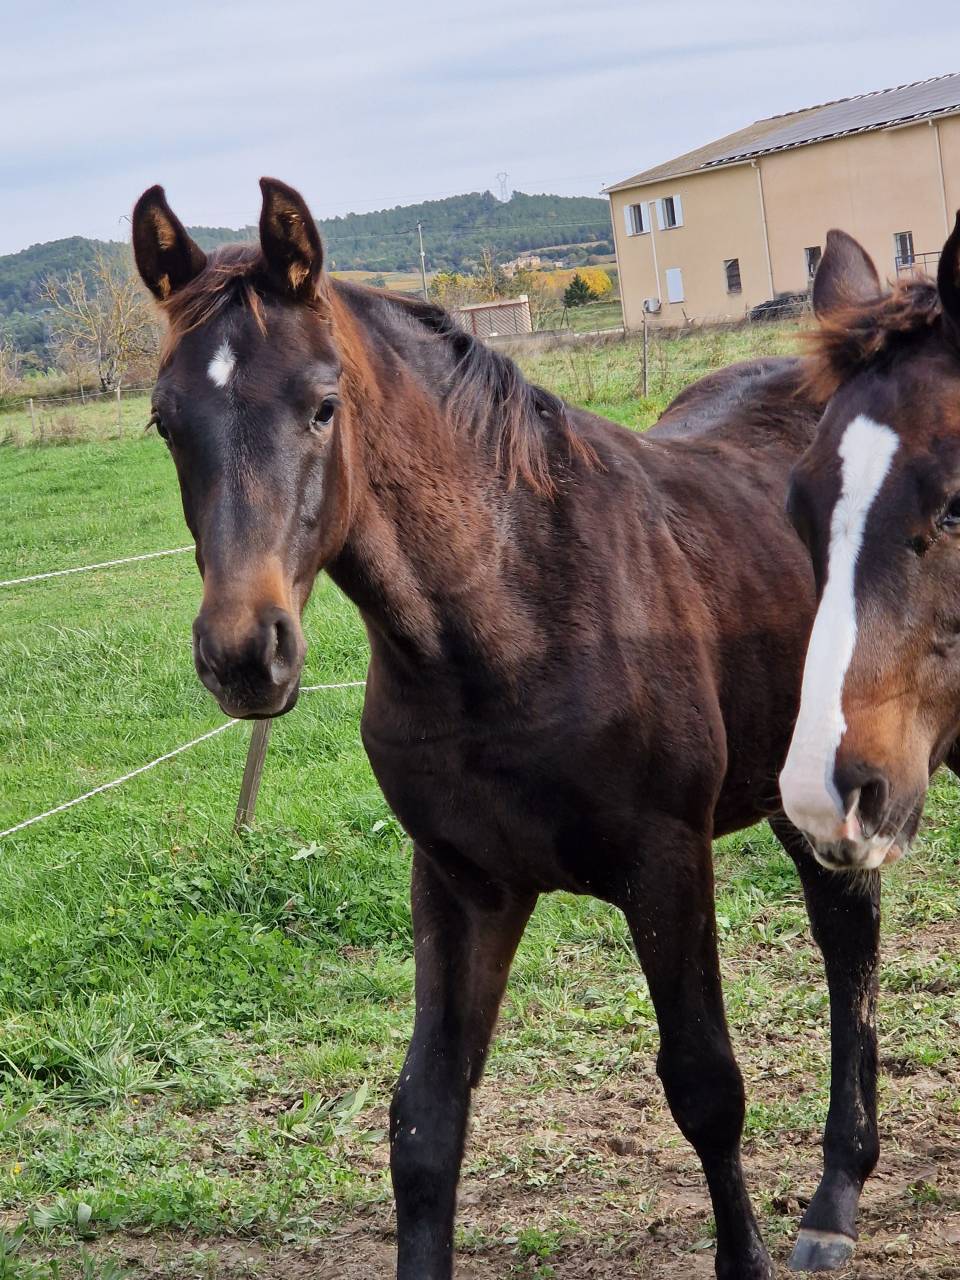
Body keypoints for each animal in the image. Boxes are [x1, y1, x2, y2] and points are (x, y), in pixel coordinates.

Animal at [132, 176, 878, 1278]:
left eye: (322, 405)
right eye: (164, 421)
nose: (243, 653)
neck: (517, 613)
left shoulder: (667, 861)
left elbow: (706, 1087)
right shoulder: (460, 880)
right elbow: (425, 1121)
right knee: (846, 928)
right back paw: (835, 1197)